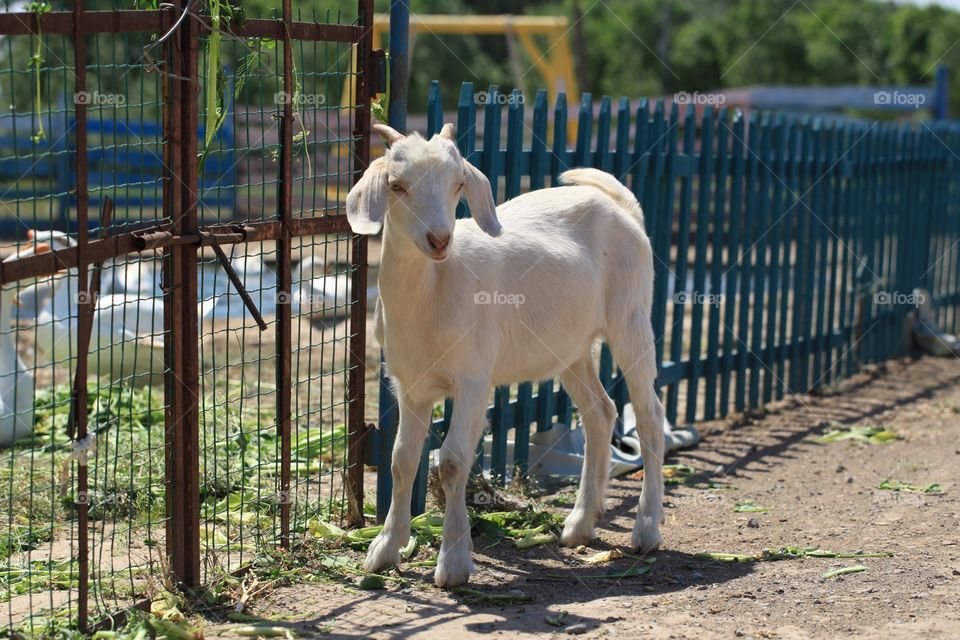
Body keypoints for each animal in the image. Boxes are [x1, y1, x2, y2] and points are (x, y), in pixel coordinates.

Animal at [346, 123, 665, 588]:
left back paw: (647, 528)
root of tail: (624, 208)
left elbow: (452, 463)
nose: (439, 239)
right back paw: (579, 524)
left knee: (648, 416)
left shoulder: (473, 380)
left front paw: (454, 563)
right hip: (571, 346)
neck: (433, 290)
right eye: (397, 185)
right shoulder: (411, 386)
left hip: (631, 316)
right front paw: (384, 550)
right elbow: (402, 460)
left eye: (458, 184)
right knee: (600, 413)